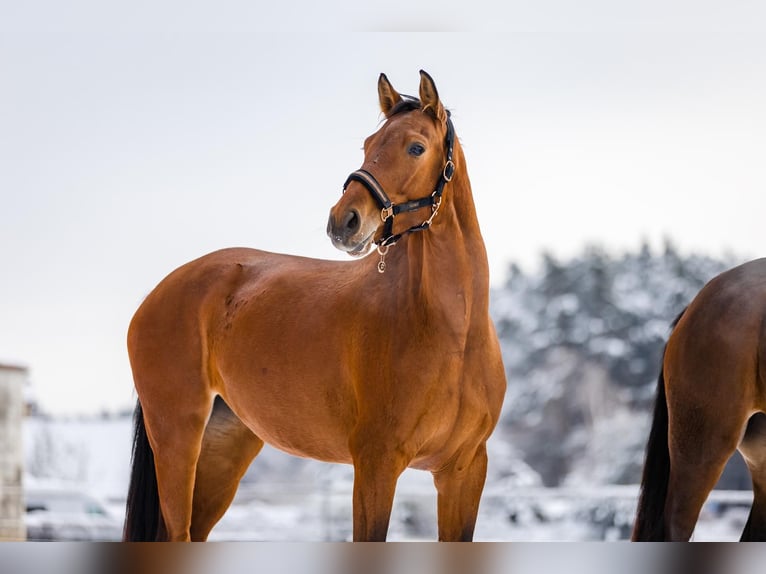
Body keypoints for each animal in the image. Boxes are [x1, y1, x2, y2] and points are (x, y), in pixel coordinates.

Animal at [124, 70, 510, 544]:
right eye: (368, 143)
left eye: (416, 147)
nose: (344, 221)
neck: (454, 334)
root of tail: (156, 295)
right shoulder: (376, 466)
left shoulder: (464, 471)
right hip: (177, 438)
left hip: (223, 448)